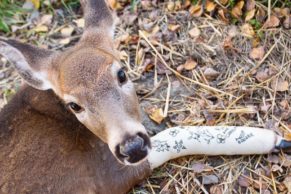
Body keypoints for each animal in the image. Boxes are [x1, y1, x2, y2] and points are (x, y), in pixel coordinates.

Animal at [0, 0, 291, 194]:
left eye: (121, 74)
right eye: (74, 105)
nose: (132, 146)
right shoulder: (104, 177)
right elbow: (173, 135)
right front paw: (272, 139)